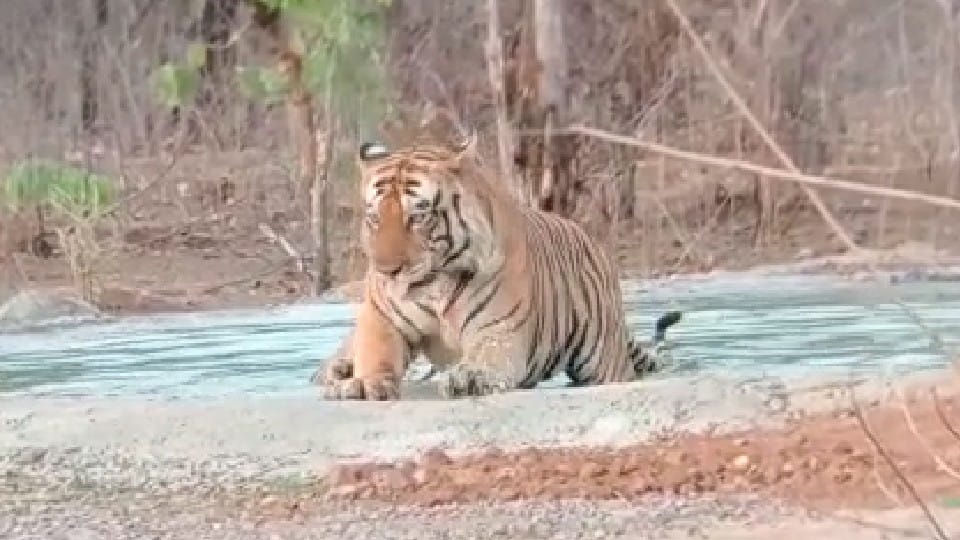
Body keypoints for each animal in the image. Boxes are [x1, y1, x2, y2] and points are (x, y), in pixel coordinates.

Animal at [310, 136, 682, 400]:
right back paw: (335, 369)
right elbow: (375, 352)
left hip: (602, 358)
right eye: (374, 218)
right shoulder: (381, 318)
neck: (434, 284)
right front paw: (362, 382)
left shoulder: (498, 330)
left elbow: (486, 357)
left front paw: (470, 377)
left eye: (418, 216)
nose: (387, 270)